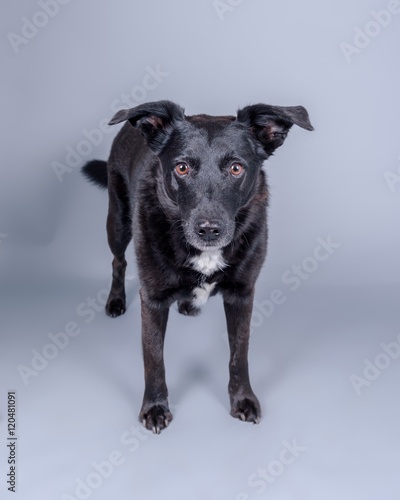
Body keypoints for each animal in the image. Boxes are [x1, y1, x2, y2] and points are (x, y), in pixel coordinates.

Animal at [82, 99, 312, 432]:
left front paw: (243, 400)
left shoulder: (242, 294)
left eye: (236, 168)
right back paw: (115, 301)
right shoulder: (152, 299)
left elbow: (239, 354)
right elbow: (154, 358)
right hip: (118, 222)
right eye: (182, 167)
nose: (209, 229)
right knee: (118, 261)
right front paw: (155, 407)